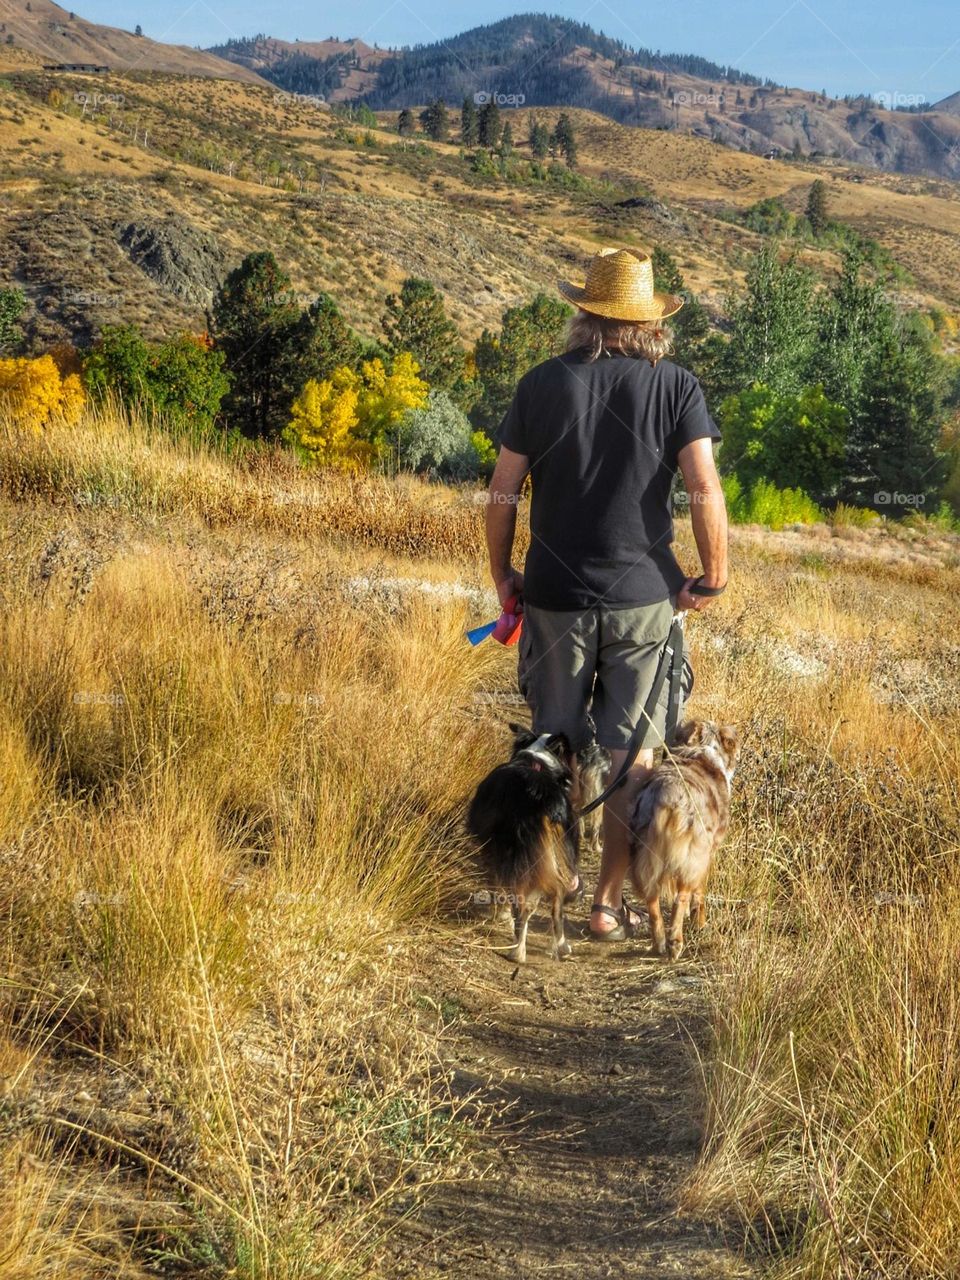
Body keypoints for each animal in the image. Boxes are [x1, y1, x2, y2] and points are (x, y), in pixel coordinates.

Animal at [627, 721, 742, 962]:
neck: (704, 749)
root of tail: (667, 796)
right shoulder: (709, 853)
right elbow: (699, 894)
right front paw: (700, 922)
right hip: (694, 855)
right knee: (680, 898)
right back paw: (675, 943)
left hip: (641, 851)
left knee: (652, 899)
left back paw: (659, 943)